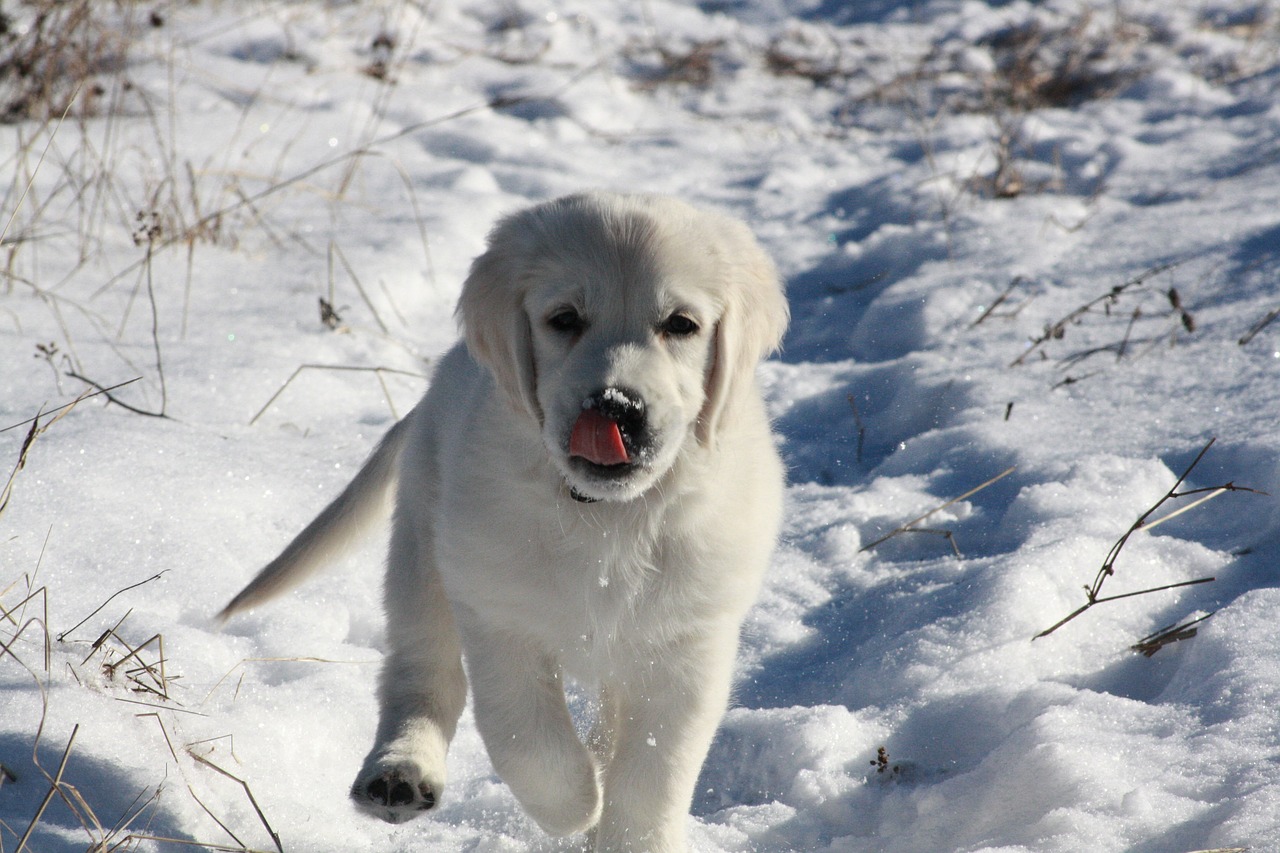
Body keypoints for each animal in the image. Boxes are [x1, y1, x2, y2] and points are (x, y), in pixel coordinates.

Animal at [222, 192, 788, 850]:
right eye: (564, 319)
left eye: (681, 325)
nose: (616, 407)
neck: (606, 518)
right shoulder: (497, 609)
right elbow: (527, 738)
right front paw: (576, 804)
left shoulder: (689, 644)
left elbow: (653, 775)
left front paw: (621, 827)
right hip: (422, 547)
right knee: (423, 669)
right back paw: (400, 773)